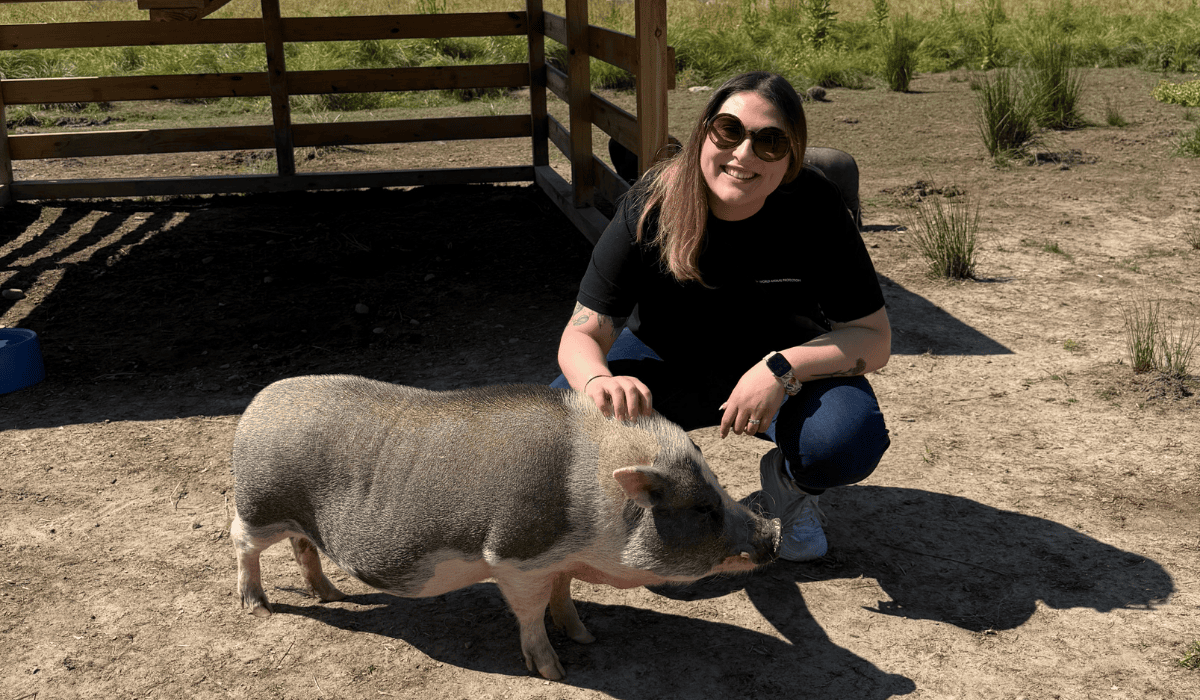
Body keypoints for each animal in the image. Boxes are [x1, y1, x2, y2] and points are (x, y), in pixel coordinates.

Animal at [230, 375, 781, 681]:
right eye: (703, 507)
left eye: (717, 490)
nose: (771, 534)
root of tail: (257, 404)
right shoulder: (516, 556)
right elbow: (531, 614)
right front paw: (556, 672)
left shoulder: (557, 560)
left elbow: (564, 596)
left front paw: (586, 638)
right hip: (259, 506)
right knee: (241, 540)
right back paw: (256, 607)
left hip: (297, 521)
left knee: (304, 545)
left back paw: (331, 594)